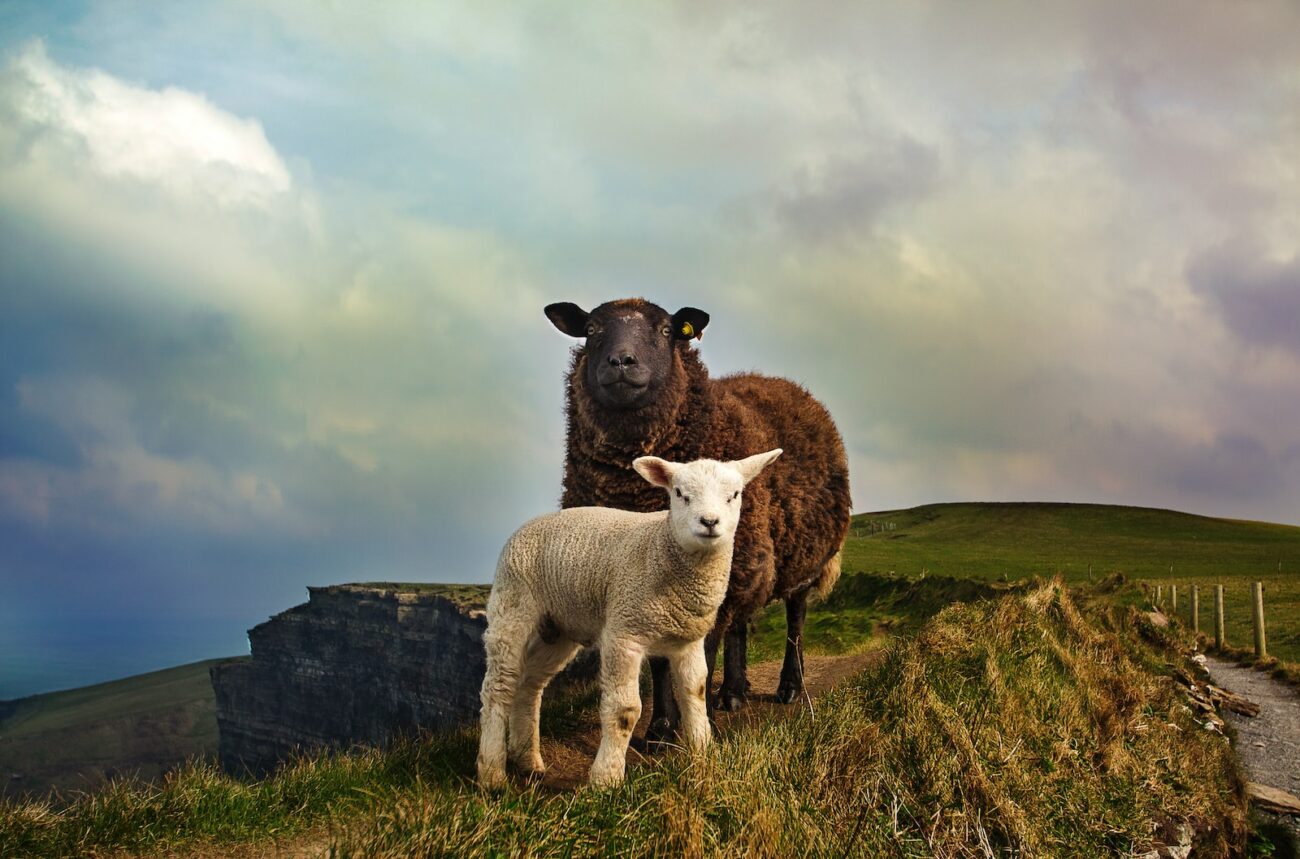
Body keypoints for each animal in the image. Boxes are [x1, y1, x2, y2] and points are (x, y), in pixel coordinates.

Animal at [476, 448, 783, 789]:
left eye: (734, 495)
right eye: (680, 493)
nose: (709, 522)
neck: (662, 548)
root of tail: (529, 524)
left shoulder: (688, 641)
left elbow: (695, 694)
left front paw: (703, 757)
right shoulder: (624, 632)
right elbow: (625, 710)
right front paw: (606, 779)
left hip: (558, 628)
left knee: (529, 685)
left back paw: (528, 761)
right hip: (512, 606)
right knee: (499, 687)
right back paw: (492, 773)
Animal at [543, 298, 852, 747]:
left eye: (667, 331)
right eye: (591, 329)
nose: (621, 361)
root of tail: (787, 384)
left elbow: (699, 655)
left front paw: (691, 727)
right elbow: (660, 661)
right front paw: (659, 729)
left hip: (801, 557)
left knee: (795, 618)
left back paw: (789, 687)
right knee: (741, 623)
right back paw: (733, 693)